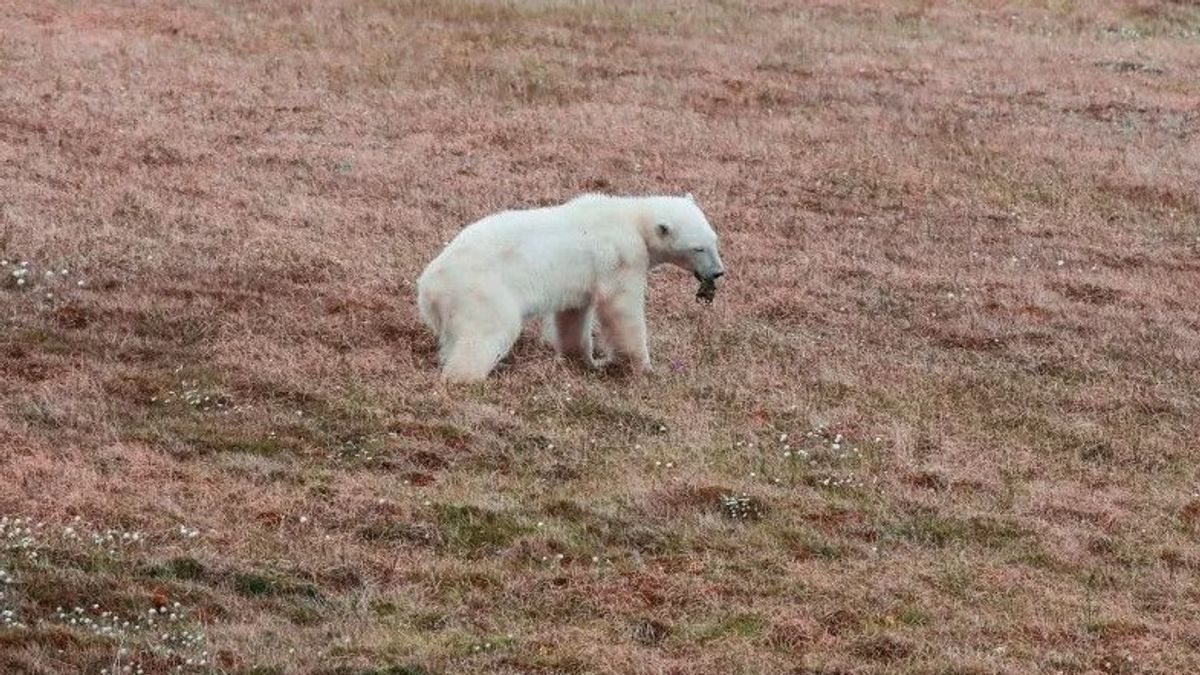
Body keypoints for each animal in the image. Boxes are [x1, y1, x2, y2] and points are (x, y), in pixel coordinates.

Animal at [417, 192, 724, 381]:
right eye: (698, 248)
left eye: (714, 240)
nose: (718, 272)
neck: (631, 217)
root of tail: (429, 287)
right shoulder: (621, 256)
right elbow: (621, 308)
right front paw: (644, 367)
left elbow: (572, 314)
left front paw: (584, 361)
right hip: (482, 290)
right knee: (487, 331)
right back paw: (469, 377)